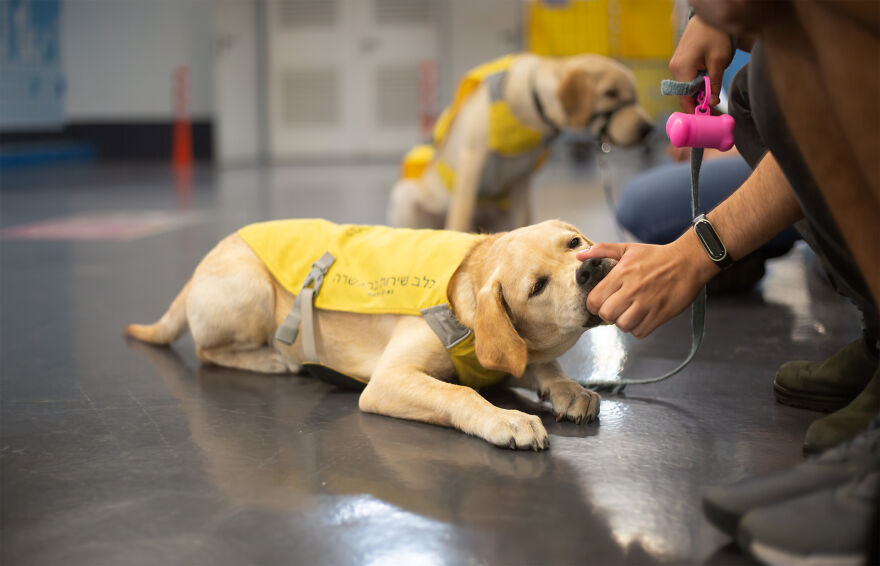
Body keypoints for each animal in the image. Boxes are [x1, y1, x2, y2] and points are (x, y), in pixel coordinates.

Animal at [125, 220, 620, 450]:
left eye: (574, 243)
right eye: (536, 286)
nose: (591, 267)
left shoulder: (511, 357)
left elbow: (544, 366)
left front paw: (570, 390)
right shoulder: (389, 379)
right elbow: (460, 393)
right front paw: (506, 418)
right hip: (250, 289)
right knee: (207, 350)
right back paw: (269, 359)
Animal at [390, 51, 652, 233]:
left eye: (635, 95)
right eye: (610, 93)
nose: (648, 128)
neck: (533, 102)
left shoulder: (522, 178)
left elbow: (523, 221)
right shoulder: (472, 161)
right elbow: (459, 219)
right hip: (406, 194)